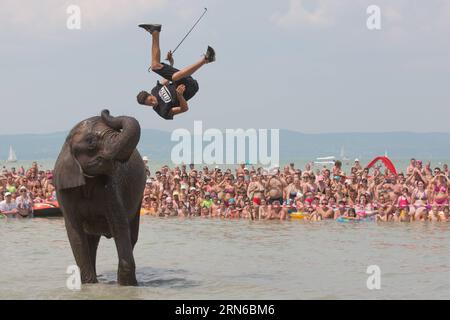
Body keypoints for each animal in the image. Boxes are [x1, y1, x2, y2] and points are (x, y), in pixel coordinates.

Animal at [53, 110, 146, 284]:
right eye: (91, 142)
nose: (106, 111)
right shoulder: (64, 191)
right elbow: (75, 233)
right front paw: (89, 284)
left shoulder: (112, 188)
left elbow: (119, 226)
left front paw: (128, 286)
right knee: (91, 240)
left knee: (131, 236)